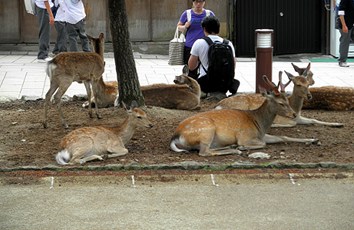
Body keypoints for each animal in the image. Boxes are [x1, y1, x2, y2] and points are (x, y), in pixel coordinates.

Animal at [169, 75, 318, 156]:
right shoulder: (245, 136)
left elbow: (282, 137)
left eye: (287, 99)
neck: (259, 123)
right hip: (206, 131)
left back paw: (230, 147)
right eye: (281, 103)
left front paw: (313, 140)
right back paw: (236, 150)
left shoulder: (261, 135)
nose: (294, 114)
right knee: (205, 152)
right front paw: (241, 147)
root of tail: (175, 137)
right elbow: (263, 144)